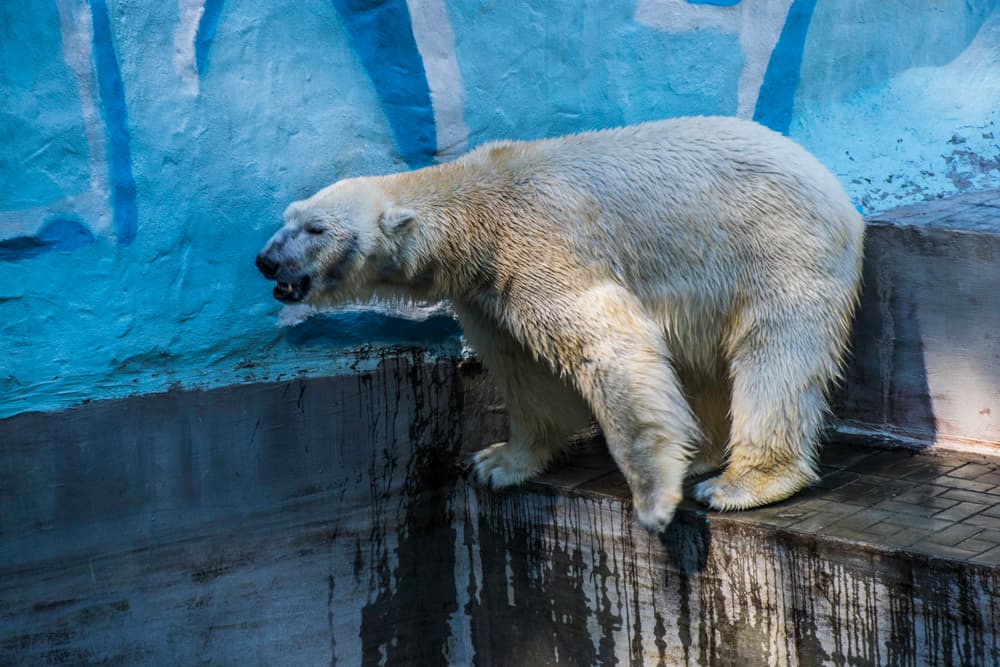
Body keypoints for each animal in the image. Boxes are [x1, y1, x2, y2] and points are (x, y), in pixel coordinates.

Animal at [256, 116, 865, 533]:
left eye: (314, 229)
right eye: (287, 219)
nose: (265, 260)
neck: (474, 210)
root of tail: (834, 187)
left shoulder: (537, 247)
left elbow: (608, 345)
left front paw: (654, 501)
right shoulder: (484, 289)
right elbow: (522, 369)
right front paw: (498, 463)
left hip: (776, 245)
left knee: (776, 355)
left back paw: (741, 481)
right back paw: (702, 454)